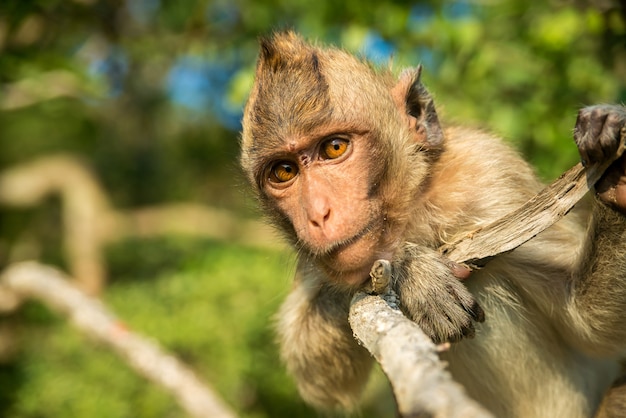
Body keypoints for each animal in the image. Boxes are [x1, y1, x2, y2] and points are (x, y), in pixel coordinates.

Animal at [239, 31, 624, 416]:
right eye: (284, 171)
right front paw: (413, 271)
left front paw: (617, 181)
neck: (414, 210)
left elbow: (584, 322)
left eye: (334, 148)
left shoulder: (492, 177)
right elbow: (318, 377)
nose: (318, 213)